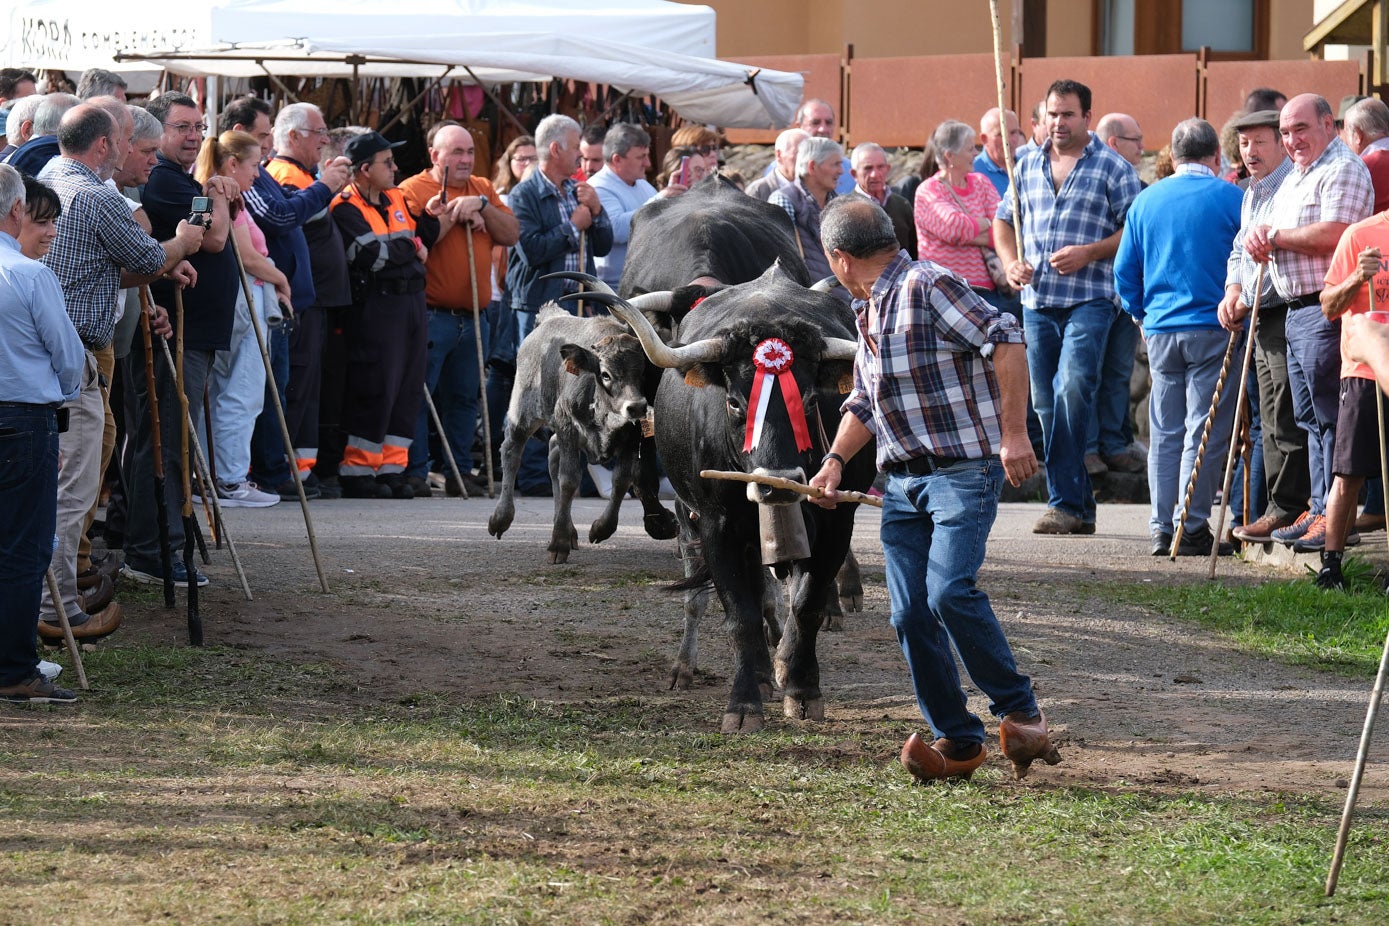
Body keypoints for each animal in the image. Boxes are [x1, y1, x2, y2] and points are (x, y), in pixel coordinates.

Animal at [491, 305, 652, 566]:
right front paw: (558, 544)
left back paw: (570, 530)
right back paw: (501, 518)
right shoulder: (567, 425)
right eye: (605, 374)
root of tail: (550, 317)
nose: (636, 407)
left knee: (552, 455)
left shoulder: (631, 439)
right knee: (511, 452)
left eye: (643, 372)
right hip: (522, 413)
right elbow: (569, 480)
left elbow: (621, 480)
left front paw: (600, 529)